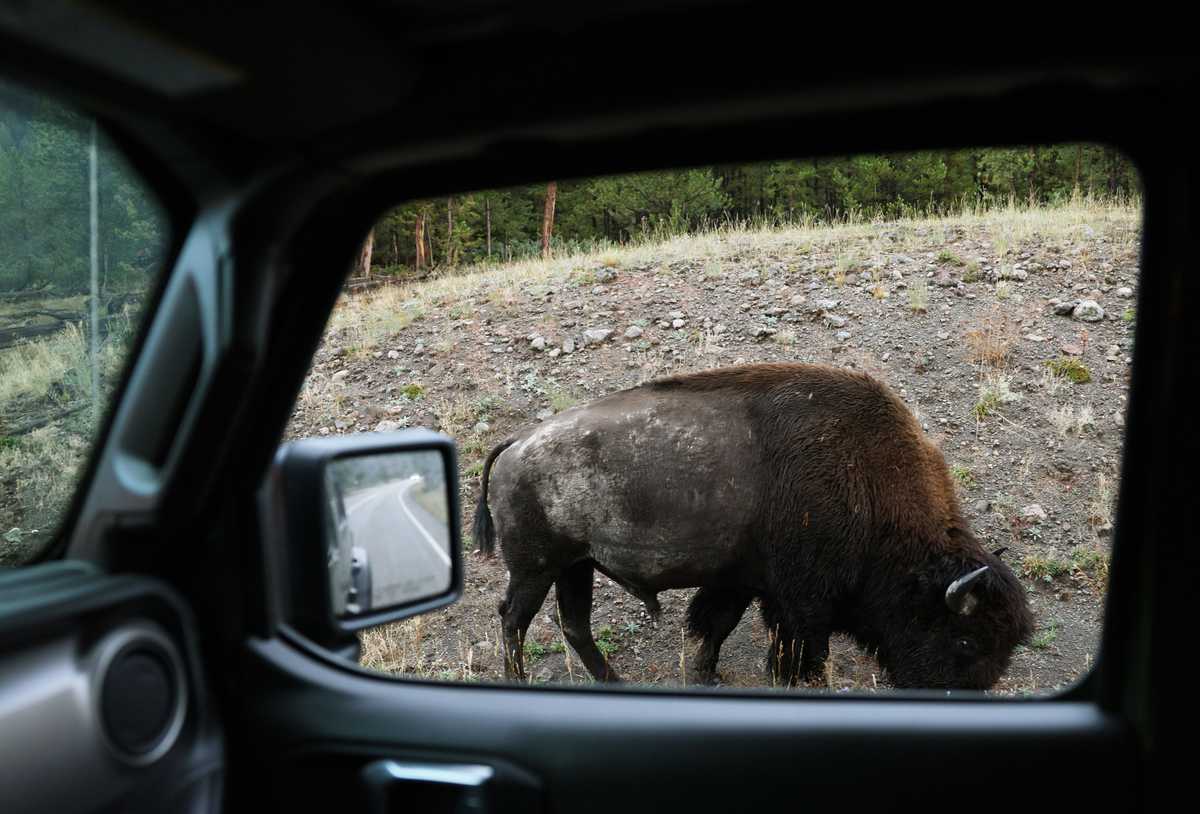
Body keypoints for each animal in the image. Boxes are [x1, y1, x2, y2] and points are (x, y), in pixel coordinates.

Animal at [472, 362, 1036, 686]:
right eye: (965, 642)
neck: (869, 481)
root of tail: (516, 442)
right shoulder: (799, 599)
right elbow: (799, 646)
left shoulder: (743, 581)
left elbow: (715, 625)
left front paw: (707, 677)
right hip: (536, 568)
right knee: (514, 618)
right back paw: (518, 680)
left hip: (577, 566)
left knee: (573, 624)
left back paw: (614, 681)